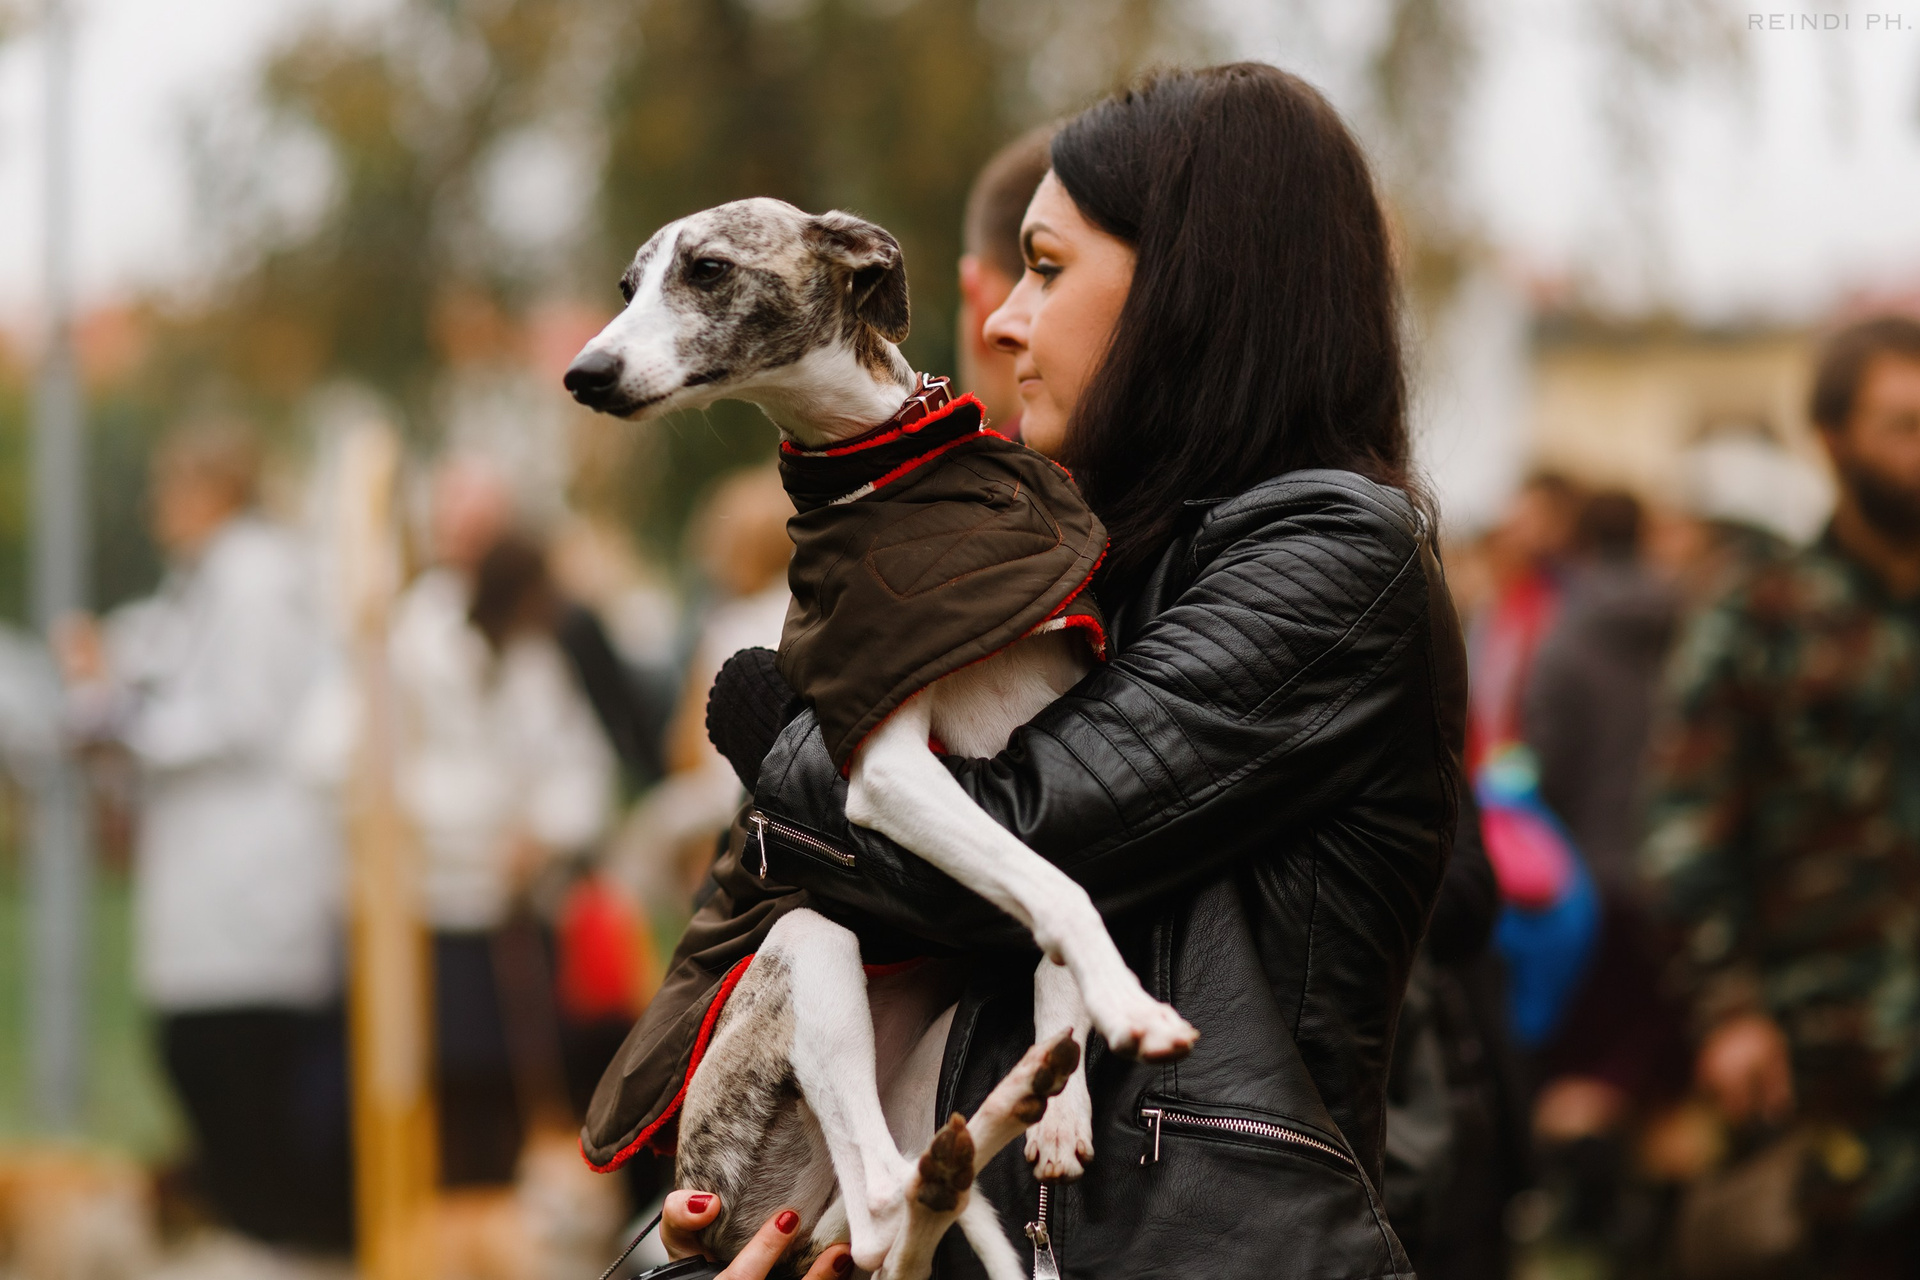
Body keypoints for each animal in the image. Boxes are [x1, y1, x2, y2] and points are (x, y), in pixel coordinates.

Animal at [565, 198, 1197, 1280]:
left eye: (708, 269)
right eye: (627, 287)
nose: (586, 374)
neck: (887, 475)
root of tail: (725, 1208)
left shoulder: (1069, 714)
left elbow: (1054, 910)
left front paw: (1068, 1096)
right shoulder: (887, 768)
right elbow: (1057, 887)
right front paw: (1126, 1007)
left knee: (898, 1213)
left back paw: (1013, 1107)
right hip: (808, 950)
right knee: (884, 1201)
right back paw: (981, 1129)